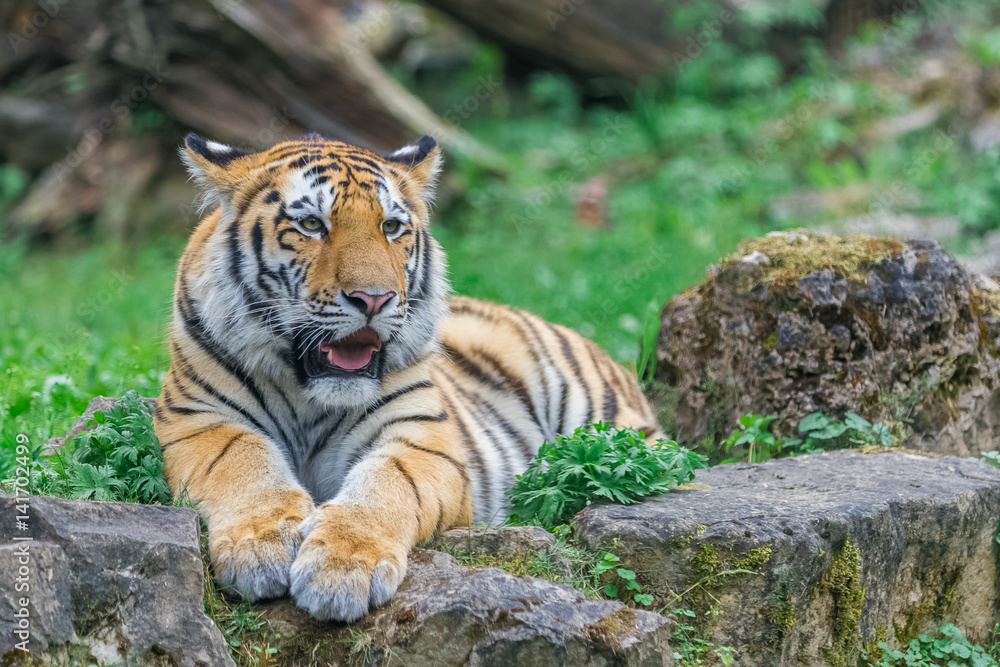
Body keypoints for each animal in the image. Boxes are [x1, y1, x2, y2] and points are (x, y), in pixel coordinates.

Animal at [156, 133, 664, 624]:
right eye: (312, 225)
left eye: (391, 227)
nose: (373, 299)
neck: (308, 396)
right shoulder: (197, 418)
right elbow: (242, 462)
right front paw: (259, 548)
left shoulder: (422, 437)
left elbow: (385, 483)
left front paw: (341, 569)